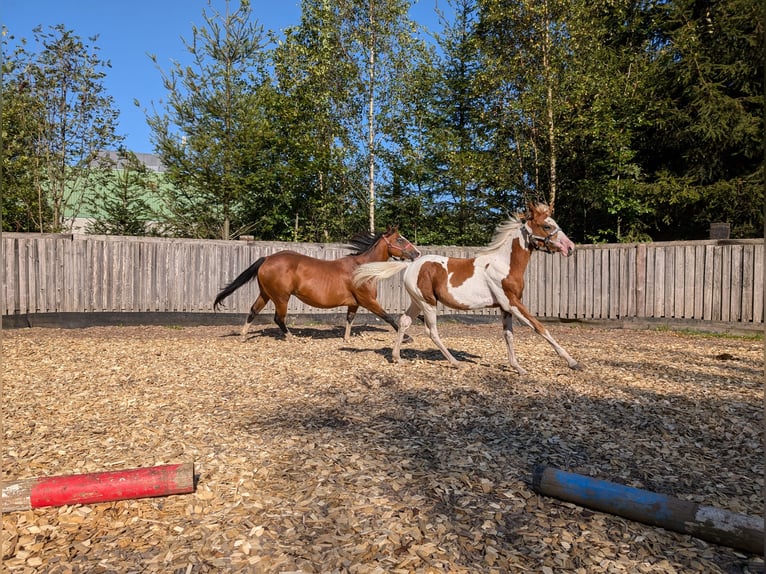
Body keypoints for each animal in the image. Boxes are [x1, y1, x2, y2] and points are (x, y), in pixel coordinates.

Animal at [214, 228, 420, 342]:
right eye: (400, 239)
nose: (417, 253)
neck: (362, 268)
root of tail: (267, 258)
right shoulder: (368, 300)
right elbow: (388, 317)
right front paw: (407, 337)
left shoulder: (354, 303)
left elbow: (349, 320)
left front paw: (346, 339)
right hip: (281, 297)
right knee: (278, 318)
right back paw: (292, 337)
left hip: (265, 294)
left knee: (253, 311)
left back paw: (243, 336)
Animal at [354, 205, 584, 376]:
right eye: (547, 225)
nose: (570, 247)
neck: (504, 263)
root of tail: (410, 265)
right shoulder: (512, 303)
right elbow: (540, 327)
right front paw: (573, 362)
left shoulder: (505, 307)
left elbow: (508, 335)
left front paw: (517, 367)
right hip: (428, 303)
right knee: (432, 331)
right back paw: (455, 362)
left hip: (417, 302)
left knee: (404, 322)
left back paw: (397, 358)